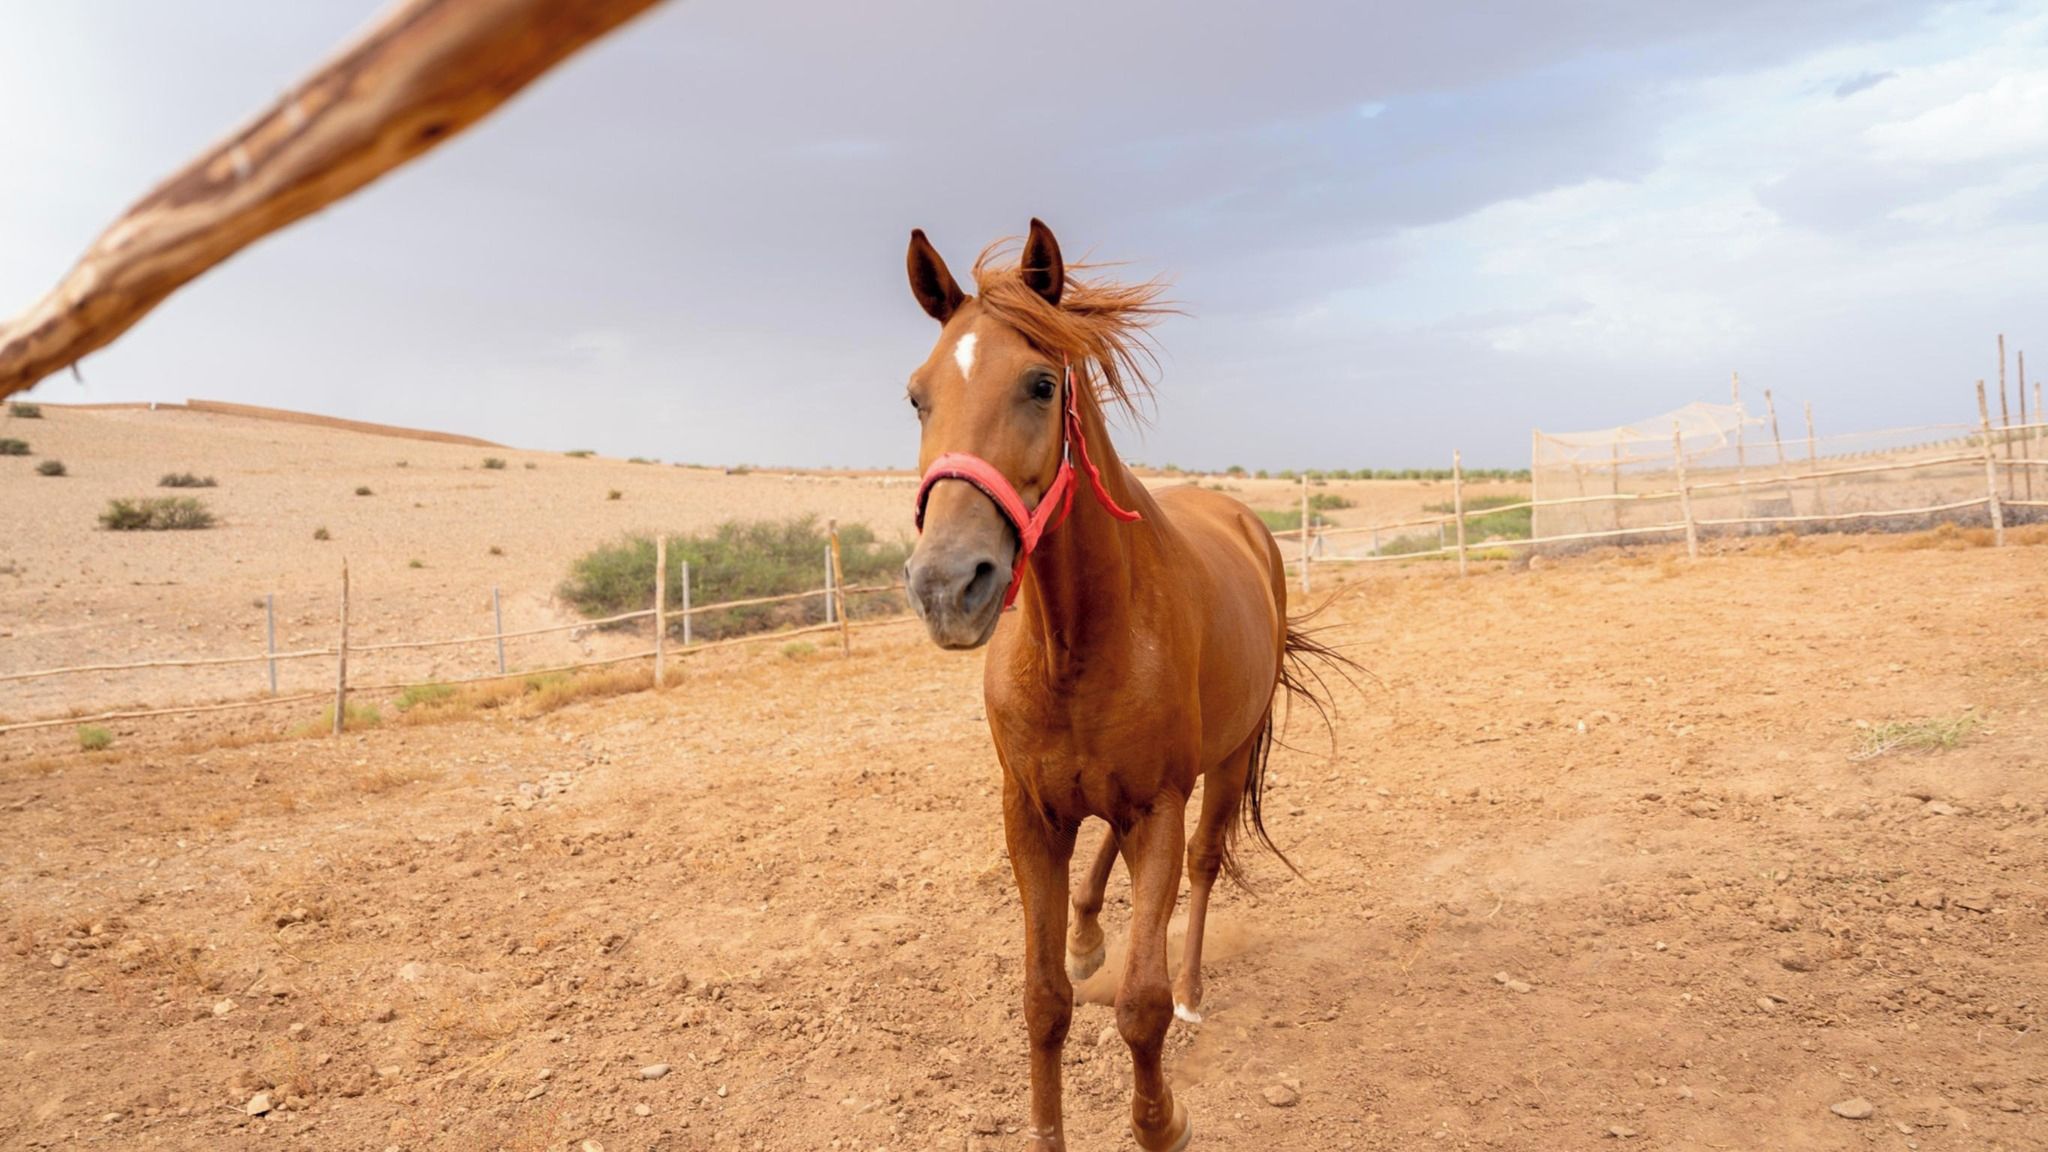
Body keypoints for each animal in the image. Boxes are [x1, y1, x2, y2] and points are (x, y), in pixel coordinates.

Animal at [899, 219, 1347, 1150]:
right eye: (917, 396)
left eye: (1040, 384)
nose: (947, 585)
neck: (1075, 644)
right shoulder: (1030, 813)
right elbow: (1043, 1001)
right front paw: (1048, 1127)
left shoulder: (1159, 807)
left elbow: (1141, 1006)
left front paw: (1161, 1118)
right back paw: (1086, 935)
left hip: (1224, 763)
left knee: (1205, 867)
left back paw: (1195, 990)